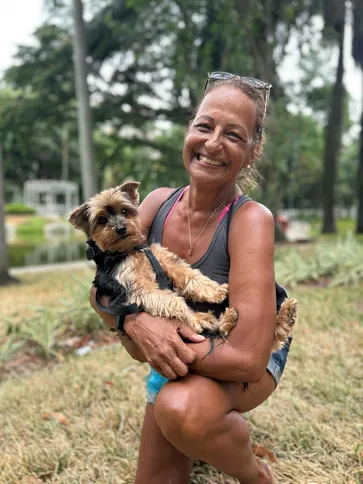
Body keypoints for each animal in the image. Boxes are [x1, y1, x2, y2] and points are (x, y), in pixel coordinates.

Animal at [69, 183, 298, 350]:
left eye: (124, 211)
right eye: (101, 220)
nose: (120, 228)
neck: (130, 251)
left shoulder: (162, 258)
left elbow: (188, 274)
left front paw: (215, 291)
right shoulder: (139, 290)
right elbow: (175, 302)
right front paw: (193, 312)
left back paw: (281, 315)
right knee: (203, 324)